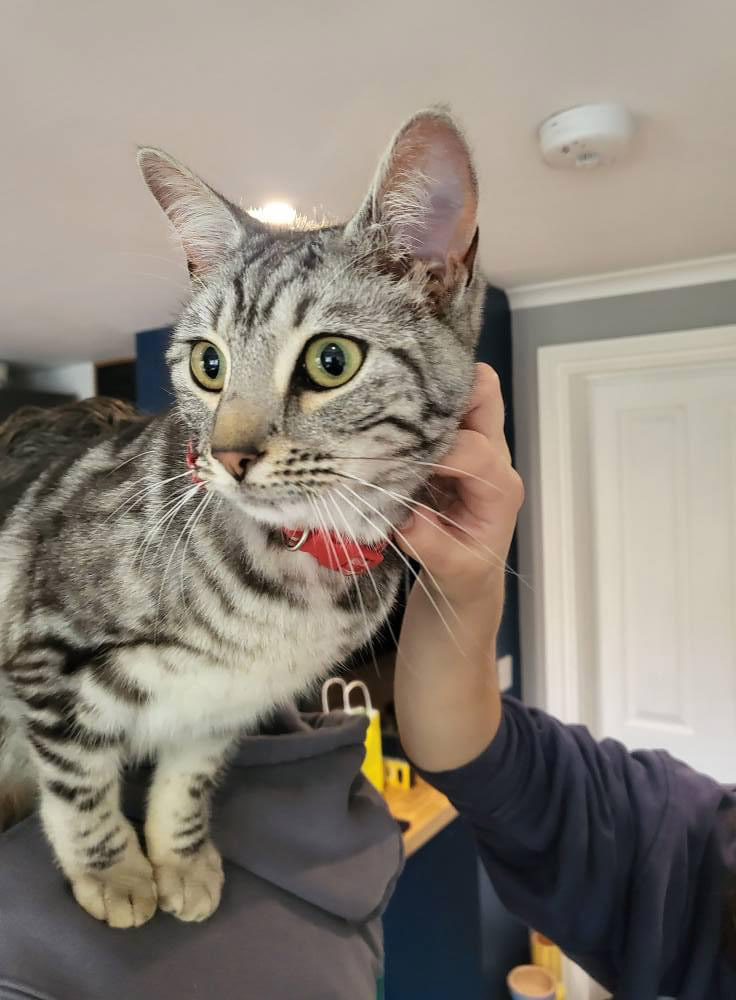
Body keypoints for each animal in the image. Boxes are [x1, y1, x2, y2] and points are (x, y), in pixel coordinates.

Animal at [0, 105, 486, 924]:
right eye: (209, 364)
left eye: (331, 360)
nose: (227, 455)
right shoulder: (44, 649)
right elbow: (78, 780)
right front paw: (113, 872)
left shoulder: (224, 706)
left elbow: (189, 779)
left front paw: (180, 857)